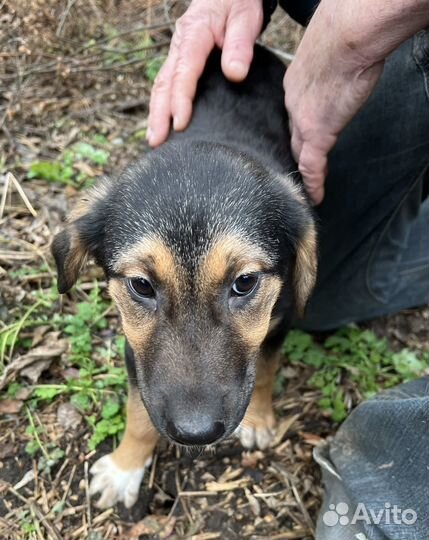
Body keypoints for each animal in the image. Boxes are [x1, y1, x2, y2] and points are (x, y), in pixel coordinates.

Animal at [51, 44, 316, 508]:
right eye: (141, 285)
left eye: (245, 282)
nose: (196, 434)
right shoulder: (136, 351)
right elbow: (139, 413)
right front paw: (124, 468)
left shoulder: (279, 321)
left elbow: (265, 369)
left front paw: (259, 419)